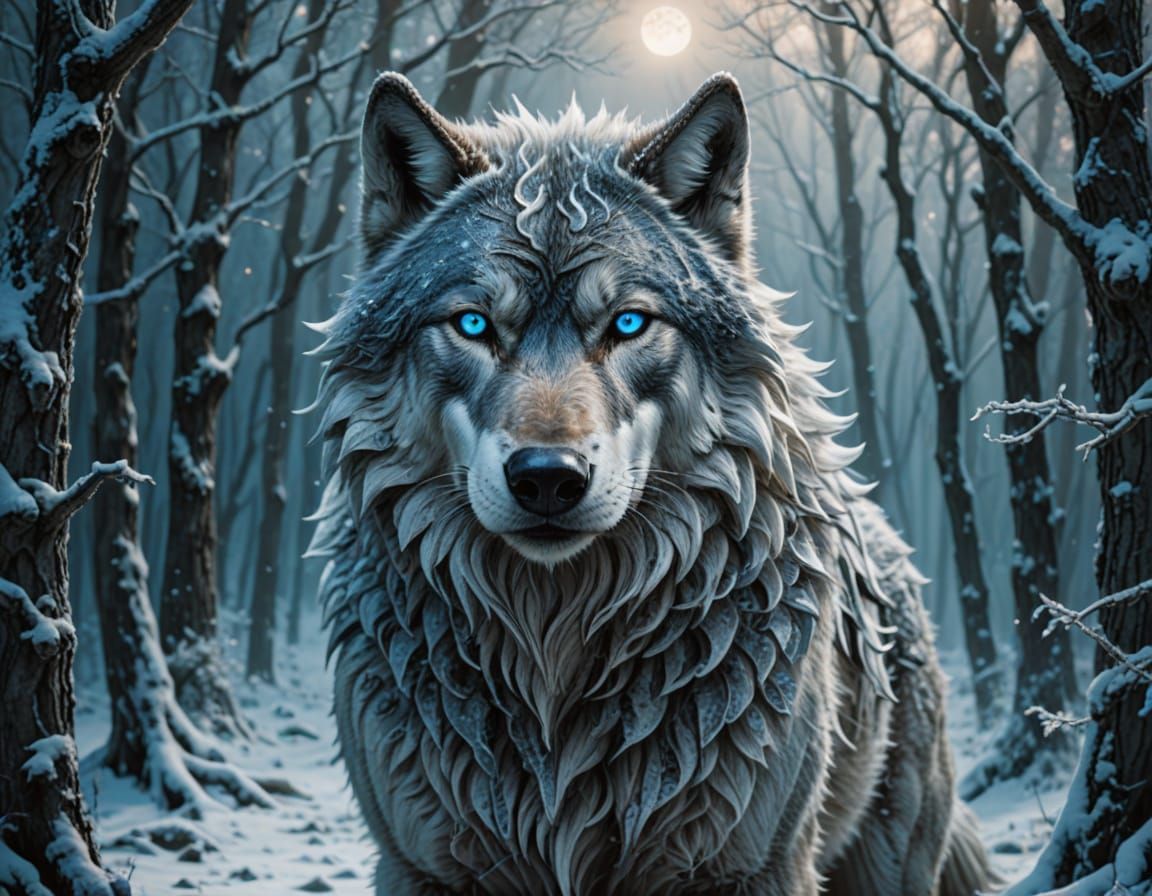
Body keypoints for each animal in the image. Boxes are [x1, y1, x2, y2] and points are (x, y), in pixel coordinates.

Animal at [308, 71, 993, 895]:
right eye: (473, 325)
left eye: (629, 323)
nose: (548, 479)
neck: (554, 652)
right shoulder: (420, 865)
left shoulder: (752, 867)